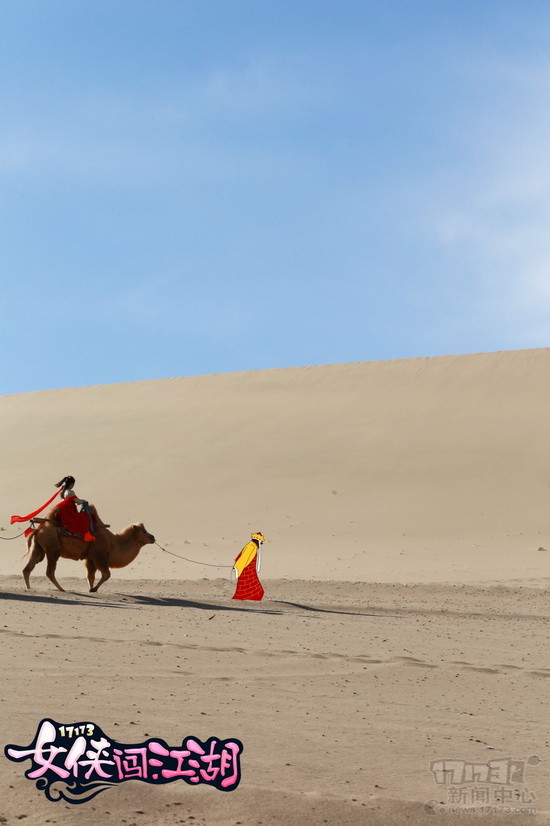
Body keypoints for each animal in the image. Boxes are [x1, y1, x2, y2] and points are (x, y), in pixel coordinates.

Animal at [22, 516, 156, 592]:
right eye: (144, 531)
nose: (153, 537)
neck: (115, 543)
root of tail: (38, 529)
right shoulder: (99, 556)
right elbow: (107, 574)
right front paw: (94, 589)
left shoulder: (90, 559)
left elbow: (90, 575)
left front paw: (90, 587)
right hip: (52, 549)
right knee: (49, 571)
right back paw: (62, 589)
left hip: (39, 547)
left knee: (28, 568)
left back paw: (29, 588)